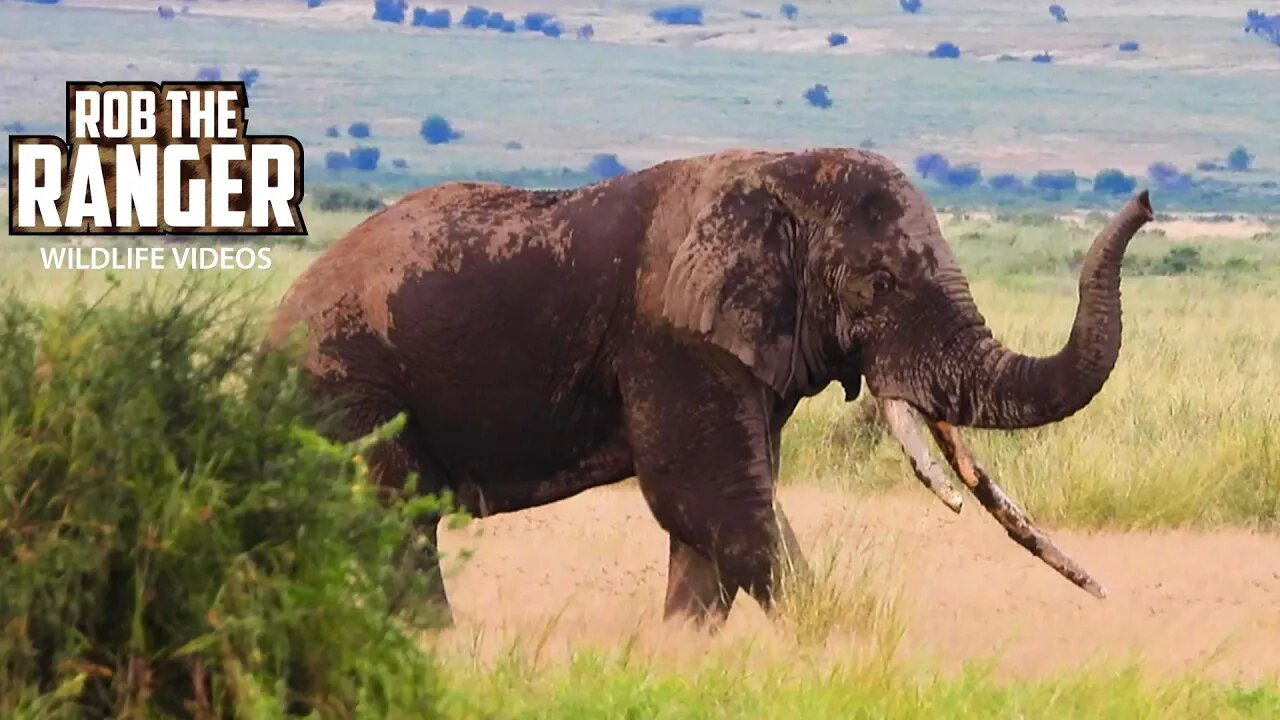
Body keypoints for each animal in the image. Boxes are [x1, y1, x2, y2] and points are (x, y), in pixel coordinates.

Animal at [270, 148, 1152, 625]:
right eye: (881, 285)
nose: (1145, 197)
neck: (784, 170)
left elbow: (715, 529)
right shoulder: (674, 340)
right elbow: (717, 506)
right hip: (349, 387)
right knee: (387, 525)